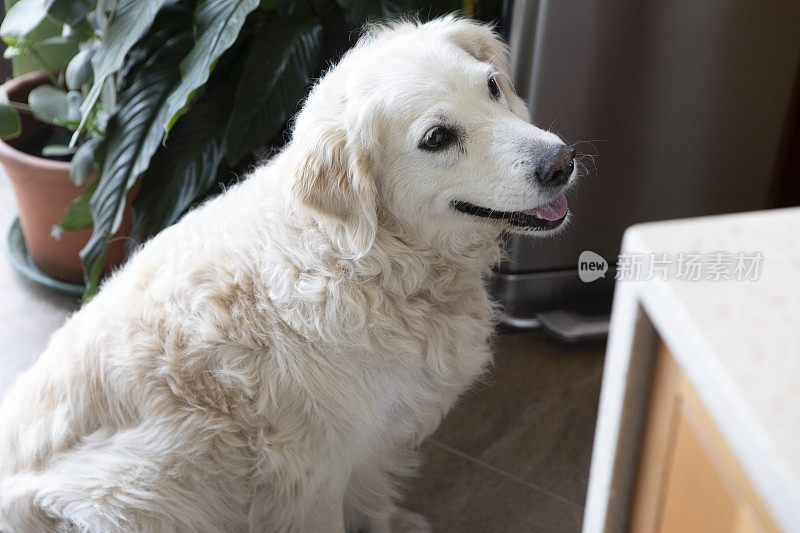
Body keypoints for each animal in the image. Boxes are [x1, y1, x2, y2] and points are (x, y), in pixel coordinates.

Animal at [0, 14, 576, 528]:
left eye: (492, 86)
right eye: (436, 138)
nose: (562, 162)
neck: (365, 260)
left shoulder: (372, 437)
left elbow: (373, 497)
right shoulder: (312, 468)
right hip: (131, 488)